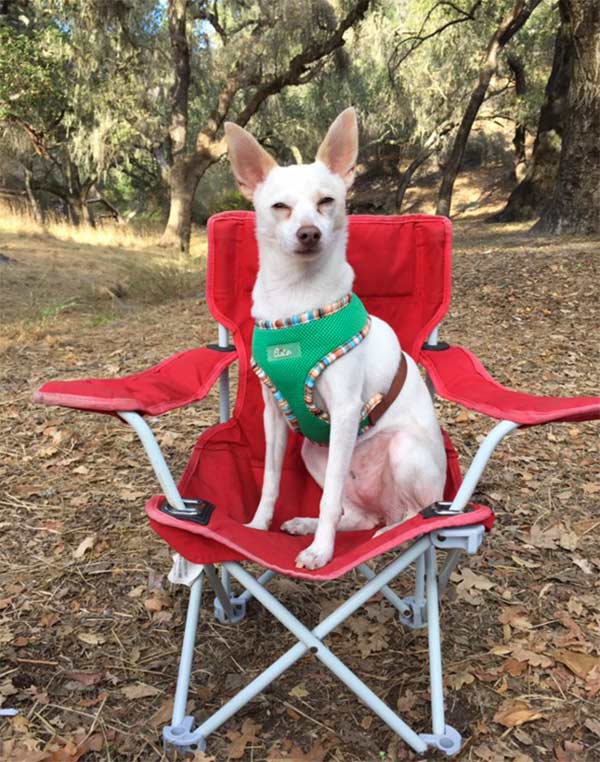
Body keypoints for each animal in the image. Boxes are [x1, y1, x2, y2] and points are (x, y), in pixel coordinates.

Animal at [225, 108, 446, 568]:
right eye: (279, 207)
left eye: (327, 201)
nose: (309, 232)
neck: (297, 301)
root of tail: (383, 507)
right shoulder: (273, 416)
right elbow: (271, 480)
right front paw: (258, 526)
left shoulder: (345, 411)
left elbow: (328, 500)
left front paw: (321, 552)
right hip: (314, 452)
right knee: (356, 513)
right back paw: (311, 524)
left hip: (404, 452)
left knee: (417, 512)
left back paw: (391, 534)